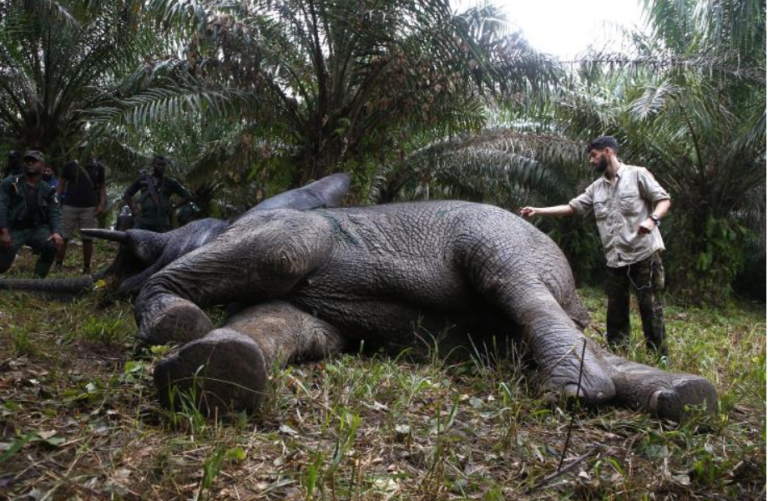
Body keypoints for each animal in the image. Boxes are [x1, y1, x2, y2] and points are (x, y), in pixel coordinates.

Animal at [121, 199, 712, 422]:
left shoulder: (285, 228)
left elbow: (282, 254)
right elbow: (288, 324)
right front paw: (214, 374)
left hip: (502, 235)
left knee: (511, 282)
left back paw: (577, 393)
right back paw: (688, 398)